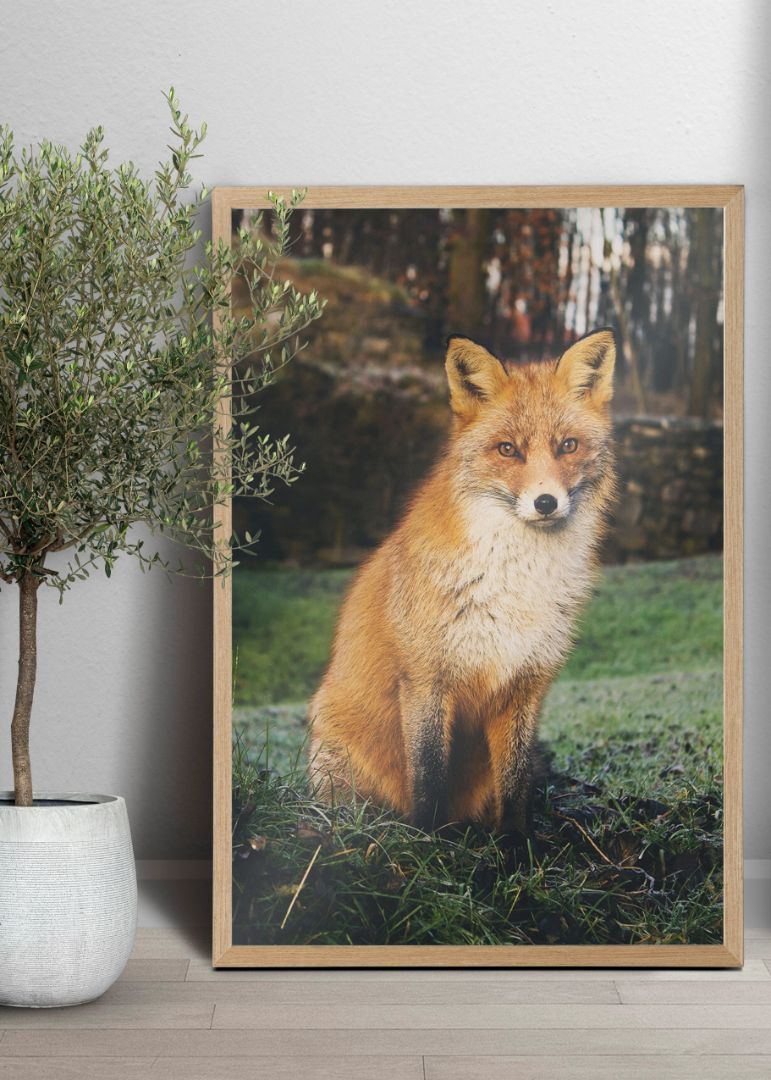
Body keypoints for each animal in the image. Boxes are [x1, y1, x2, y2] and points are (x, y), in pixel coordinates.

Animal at [308, 328, 617, 833]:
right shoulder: (426, 679)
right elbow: (430, 775)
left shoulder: (525, 685)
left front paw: (516, 844)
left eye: (567, 446)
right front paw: (427, 843)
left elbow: (515, 785)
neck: (515, 583)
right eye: (508, 449)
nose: (546, 502)